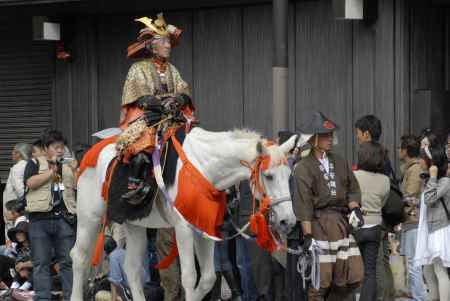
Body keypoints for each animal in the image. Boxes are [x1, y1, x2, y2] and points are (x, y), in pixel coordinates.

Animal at [71, 126, 298, 300]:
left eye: (289, 175)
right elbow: (189, 277)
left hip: (134, 224)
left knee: (132, 269)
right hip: (89, 217)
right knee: (79, 258)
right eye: (268, 176)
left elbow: (207, 279)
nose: (287, 220)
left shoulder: (205, 230)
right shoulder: (183, 229)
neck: (203, 168)